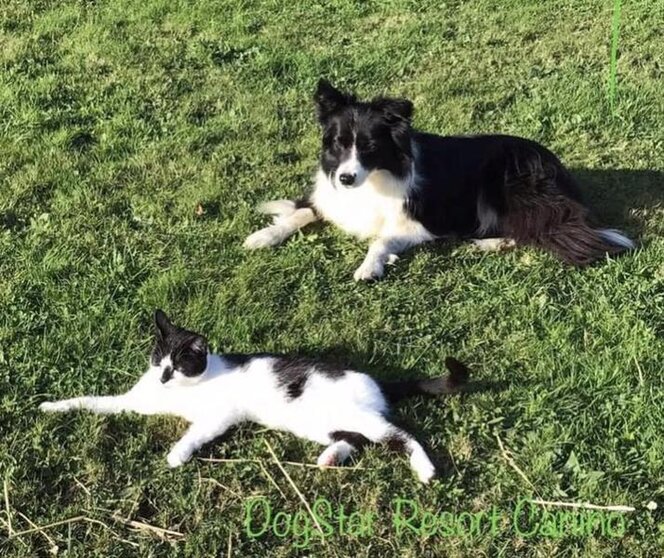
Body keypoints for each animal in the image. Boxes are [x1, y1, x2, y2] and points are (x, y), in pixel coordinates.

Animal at [39, 310, 470, 486]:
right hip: (318, 423)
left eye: (179, 365)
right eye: (159, 359)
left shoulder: (218, 416)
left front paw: (177, 455)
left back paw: (425, 470)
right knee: (354, 439)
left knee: (403, 434)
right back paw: (330, 458)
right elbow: (91, 400)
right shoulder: (133, 401)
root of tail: (377, 379)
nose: (162, 377)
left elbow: (194, 434)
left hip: (356, 415)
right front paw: (52, 406)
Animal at [244, 81, 632, 282]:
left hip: (509, 186)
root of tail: (558, 168)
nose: (346, 177)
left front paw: (369, 266)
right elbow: (299, 212)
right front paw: (263, 236)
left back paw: (489, 244)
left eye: (369, 147)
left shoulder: (420, 225)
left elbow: (380, 239)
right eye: (338, 144)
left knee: (534, 230)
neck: (375, 177)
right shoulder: (329, 199)